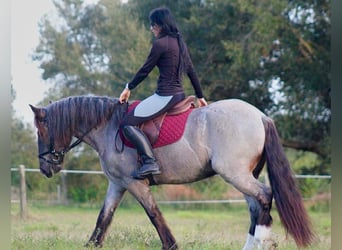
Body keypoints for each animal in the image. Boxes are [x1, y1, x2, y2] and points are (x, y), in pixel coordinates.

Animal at [30, 94, 316, 249]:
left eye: (41, 131)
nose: (46, 168)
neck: (108, 127)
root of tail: (259, 116)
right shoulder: (117, 184)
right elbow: (104, 217)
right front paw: (91, 245)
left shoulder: (134, 184)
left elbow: (154, 214)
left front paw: (172, 245)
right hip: (243, 176)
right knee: (256, 206)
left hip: (235, 174)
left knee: (265, 197)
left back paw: (263, 243)